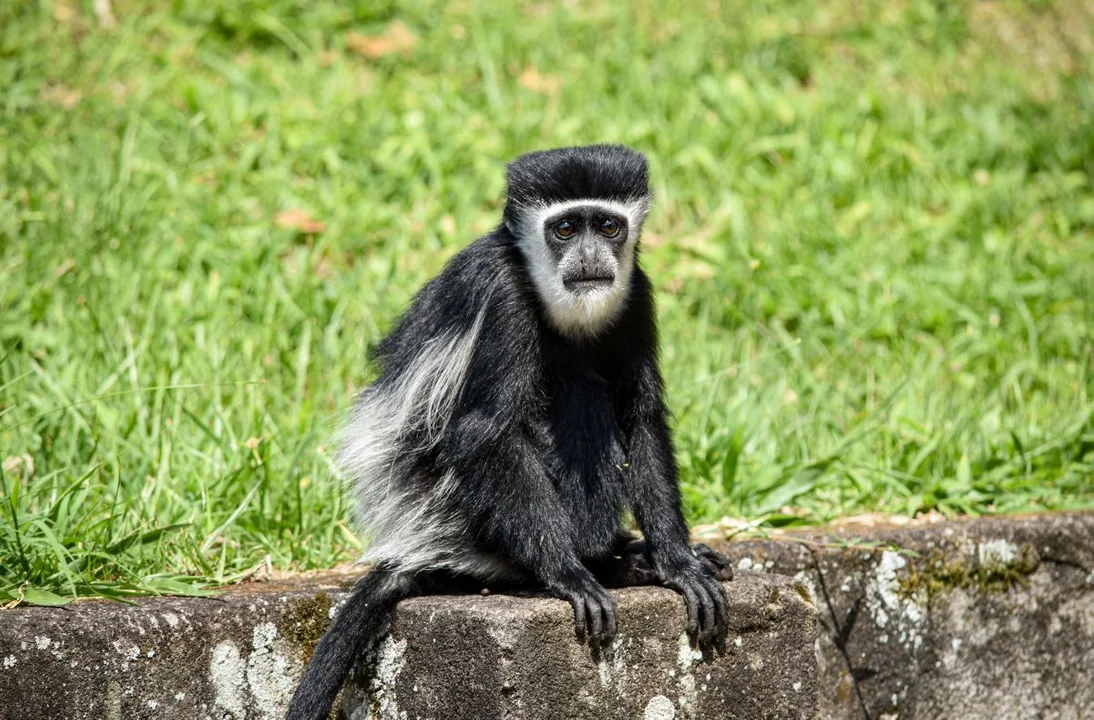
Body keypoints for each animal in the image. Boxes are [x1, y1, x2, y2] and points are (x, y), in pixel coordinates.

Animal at [288, 144, 735, 717]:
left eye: (607, 226)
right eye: (564, 228)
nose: (590, 257)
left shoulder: (636, 292)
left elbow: (641, 417)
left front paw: (678, 563)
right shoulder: (505, 297)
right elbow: (485, 431)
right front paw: (567, 576)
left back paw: (637, 558)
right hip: (465, 516)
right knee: (573, 394)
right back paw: (591, 567)